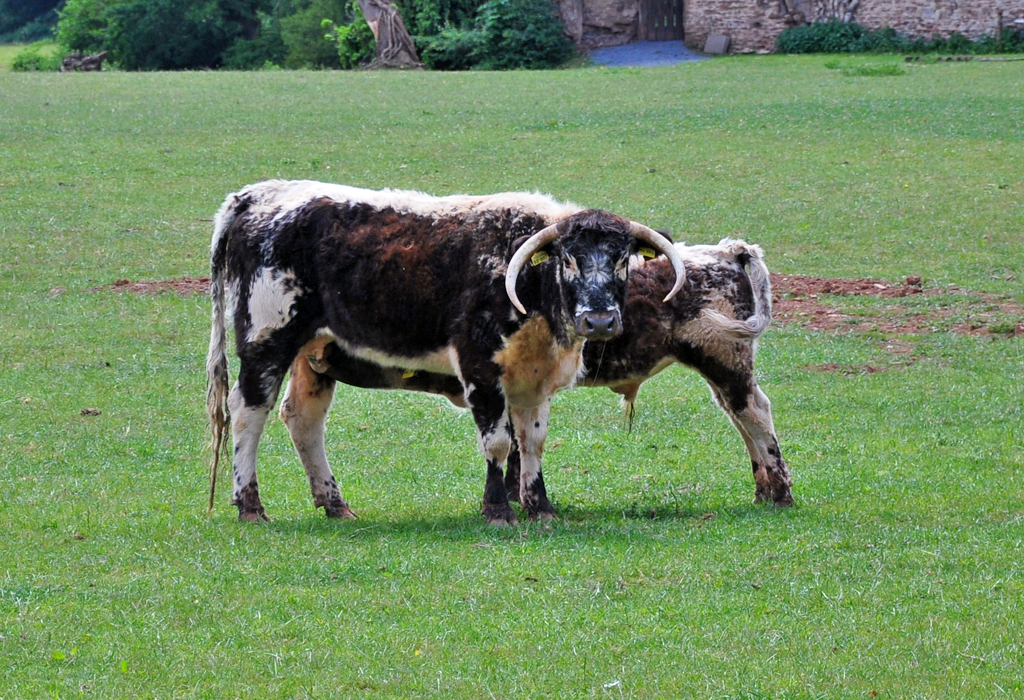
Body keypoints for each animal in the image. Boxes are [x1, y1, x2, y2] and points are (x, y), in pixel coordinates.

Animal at [203, 180, 684, 523]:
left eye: (621, 258)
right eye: (567, 258)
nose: (600, 321)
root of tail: (255, 196)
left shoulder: (532, 379)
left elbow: (532, 442)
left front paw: (540, 507)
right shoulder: (481, 370)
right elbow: (498, 443)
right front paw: (498, 510)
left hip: (315, 354)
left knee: (303, 419)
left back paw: (335, 504)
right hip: (267, 341)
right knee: (248, 413)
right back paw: (250, 506)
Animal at [303, 237, 790, 515]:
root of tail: (726, 252)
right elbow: (519, 445)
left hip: (726, 362)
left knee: (755, 415)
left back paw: (780, 491)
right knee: (741, 419)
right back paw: (763, 490)